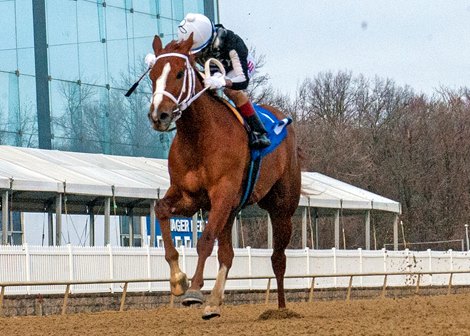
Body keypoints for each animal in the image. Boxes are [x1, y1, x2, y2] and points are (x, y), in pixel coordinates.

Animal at [148, 34, 302, 320]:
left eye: (179, 73)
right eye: (152, 75)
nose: (158, 115)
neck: (199, 138)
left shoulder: (222, 193)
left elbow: (206, 240)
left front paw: (194, 290)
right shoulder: (189, 195)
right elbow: (161, 209)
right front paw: (178, 280)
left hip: (281, 208)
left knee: (278, 258)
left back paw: (281, 310)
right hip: (231, 211)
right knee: (228, 255)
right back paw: (214, 302)